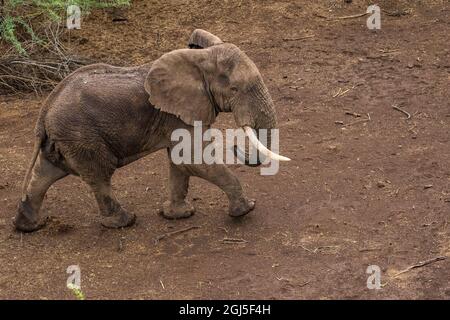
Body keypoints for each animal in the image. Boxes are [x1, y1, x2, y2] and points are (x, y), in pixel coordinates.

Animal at [14, 28, 290, 231]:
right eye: (234, 89)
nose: (235, 146)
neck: (201, 59)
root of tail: (44, 112)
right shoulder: (176, 113)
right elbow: (193, 160)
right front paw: (245, 210)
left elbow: (180, 162)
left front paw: (178, 215)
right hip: (81, 136)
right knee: (99, 175)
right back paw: (125, 222)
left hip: (66, 138)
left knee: (45, 173)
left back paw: (27, 226)